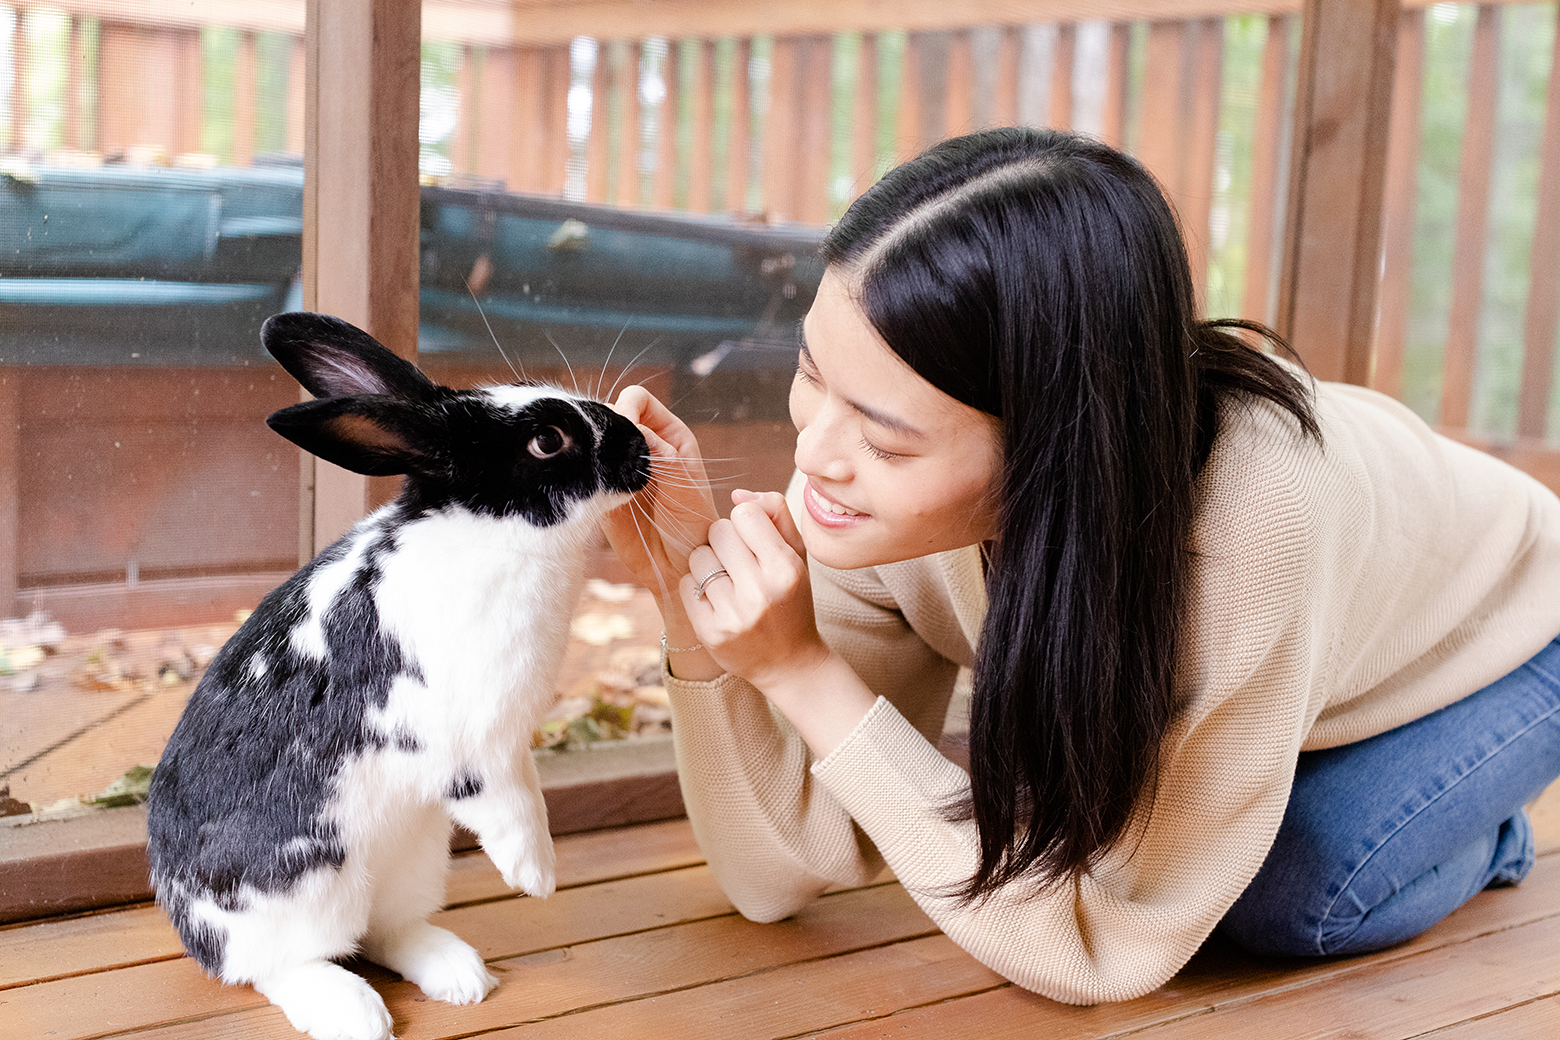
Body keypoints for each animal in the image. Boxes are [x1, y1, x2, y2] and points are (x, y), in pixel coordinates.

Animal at [146, 312, 651, 1040]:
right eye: (547, 440)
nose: (639, 444)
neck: (486, 532)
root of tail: (190, 922)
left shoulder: (509, 741)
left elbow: (530, 790)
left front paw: (537, 875)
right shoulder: (473, 745)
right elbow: (514, 807)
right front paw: (535, 877)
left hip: (415, 853)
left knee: (384, 932)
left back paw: (460, 977)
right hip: (305, 886)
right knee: (277, 965)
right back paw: (354, 1013)